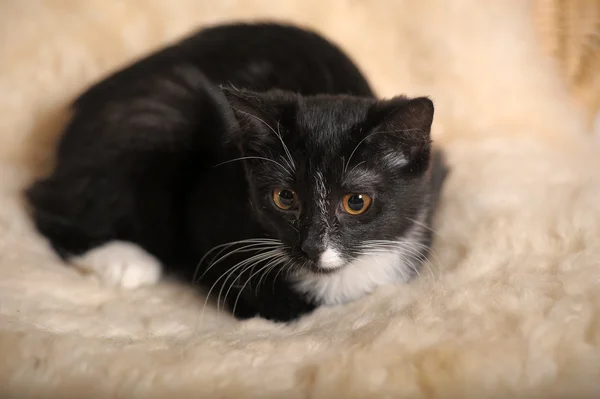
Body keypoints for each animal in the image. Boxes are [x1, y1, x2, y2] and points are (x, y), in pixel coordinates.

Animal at [25, 21, 446, 324]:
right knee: (47, 199)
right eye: (284, 197)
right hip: (164, 107)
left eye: (356, 201)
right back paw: (122, 258)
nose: (311, 247)